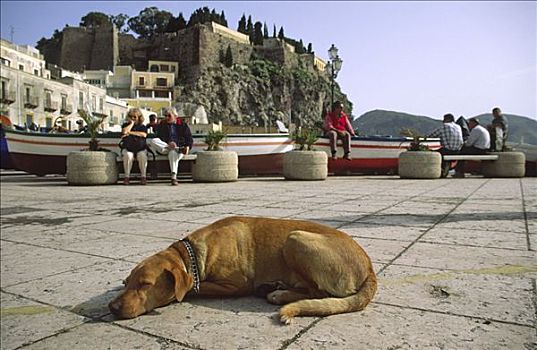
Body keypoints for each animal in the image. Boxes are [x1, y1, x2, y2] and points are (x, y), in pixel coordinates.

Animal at [109, 215, 376, 324]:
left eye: (145, 284)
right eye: (126, 283)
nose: (112, 307)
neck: (191, 255)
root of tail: (370, 268)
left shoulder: (236, 284)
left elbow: (196, 287)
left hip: (295, 238)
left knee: (318, 292)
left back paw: (278, 294)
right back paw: (274, 287)